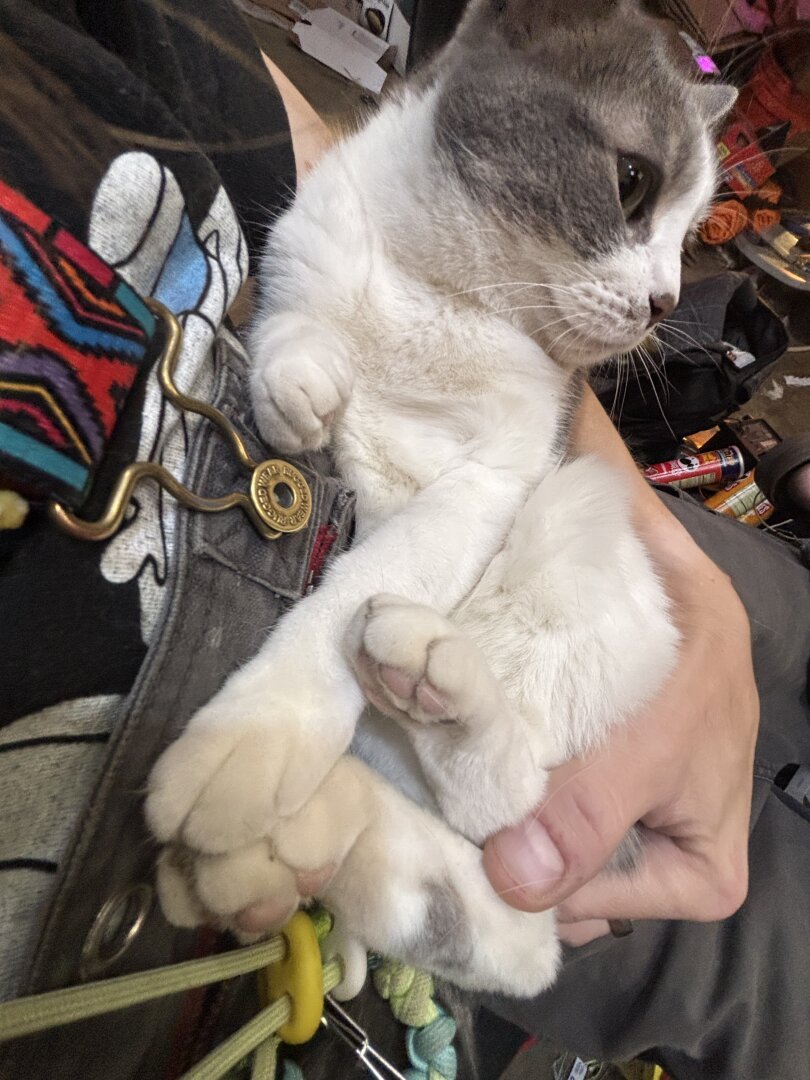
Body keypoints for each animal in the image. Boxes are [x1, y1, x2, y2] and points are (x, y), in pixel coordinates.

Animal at [144, 0, 734, 993]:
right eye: (633, 183)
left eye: (690, 238)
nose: (665, 301)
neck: (440, 293)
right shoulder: (299, 254)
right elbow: (288, 330)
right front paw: (299, 386)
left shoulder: (494, 480)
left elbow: (357, 586)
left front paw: (261, 732)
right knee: (491, 916)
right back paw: (287, 854)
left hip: (572, 518)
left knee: (509, 814)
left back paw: (432, 682)